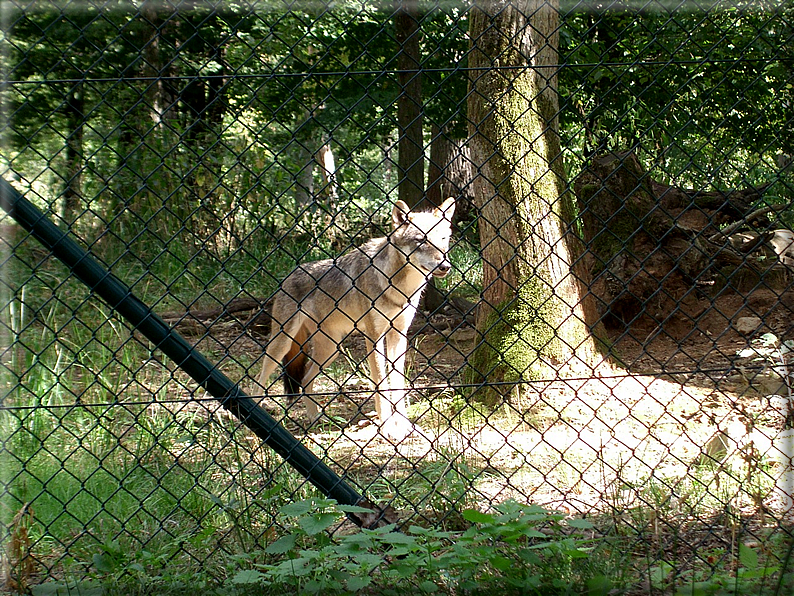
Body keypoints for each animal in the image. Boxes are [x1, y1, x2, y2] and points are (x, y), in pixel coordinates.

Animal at [256, 198, 454, 440]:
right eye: (421, 241)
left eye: (443, 239)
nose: (445, 266)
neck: (399, 286)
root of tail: (289, 274)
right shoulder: (374, 337)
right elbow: (381, 385)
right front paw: (388, 429)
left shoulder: (399, 335)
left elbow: (397, 384)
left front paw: (406, 426)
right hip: (281, 345)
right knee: (258, 381)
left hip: (331, 350)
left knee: (304, 380)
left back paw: (316, 419)